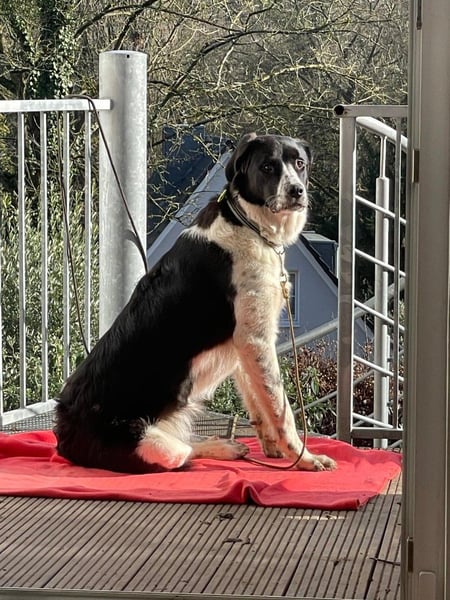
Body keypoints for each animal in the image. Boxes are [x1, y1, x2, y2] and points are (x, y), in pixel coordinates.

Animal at [54, 133, 337, 473]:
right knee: (184, 452)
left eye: (299, 164)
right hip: (153, 444)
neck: (246, 223)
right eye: (268, 167)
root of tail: (63, 433)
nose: (297, 191)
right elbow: (282, 410)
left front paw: (273, 450)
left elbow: (260, 404)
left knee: (188, 444)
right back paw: (221, 448)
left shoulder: (246, 345)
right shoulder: (255, 339)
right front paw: (303, 458)